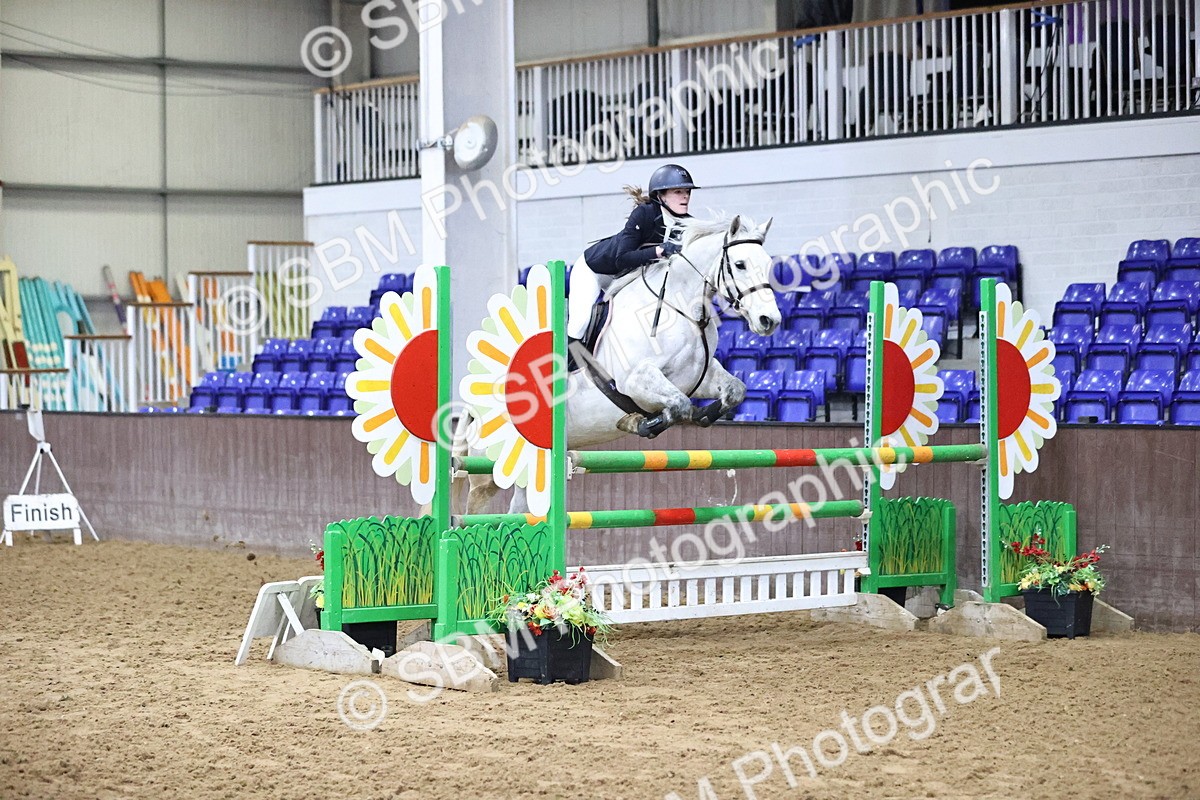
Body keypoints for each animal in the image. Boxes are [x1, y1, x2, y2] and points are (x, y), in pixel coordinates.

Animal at [459, 213, 781, 515]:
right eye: (739, 264)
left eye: (768, 265)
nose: (770, 321)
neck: (681, 308)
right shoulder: (636, 380)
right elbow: (678, 405)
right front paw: (642, 423)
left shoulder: (700, 377)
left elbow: (733, 391)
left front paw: (703, 416)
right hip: (487, 468)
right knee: (473, 513)